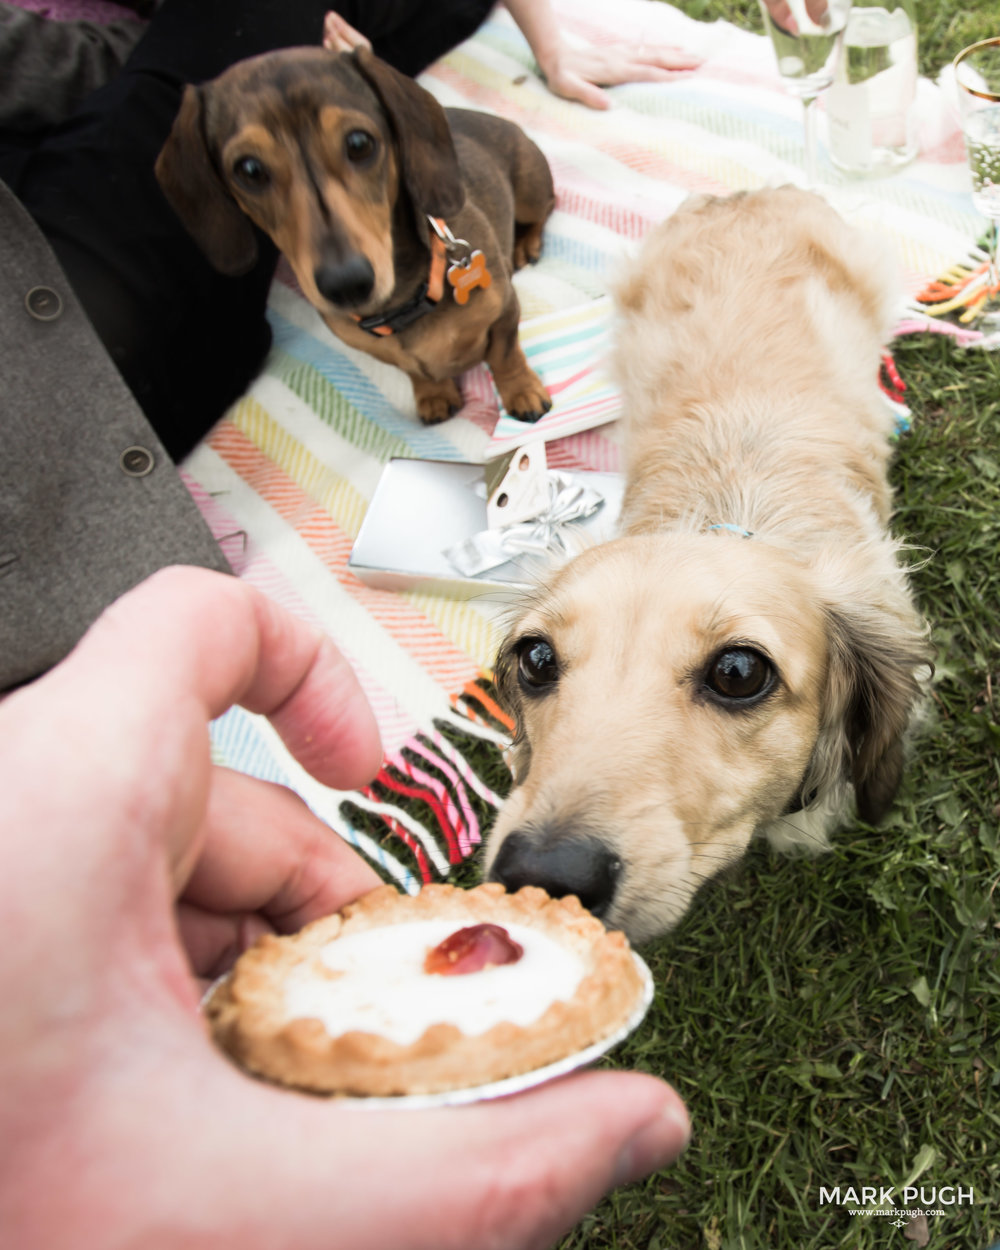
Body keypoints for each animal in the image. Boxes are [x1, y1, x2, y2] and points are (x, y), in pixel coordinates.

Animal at [154, 46, 555, 425]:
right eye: (249, 170)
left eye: (360, 143)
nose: (347, 284)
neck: (402, 306)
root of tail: (503, 122)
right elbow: (417, 372)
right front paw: (435, 395)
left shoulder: (504, 311)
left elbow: (505, 357)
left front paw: (522, 393)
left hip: (531, 192)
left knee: (544, 209)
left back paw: (525, 245)